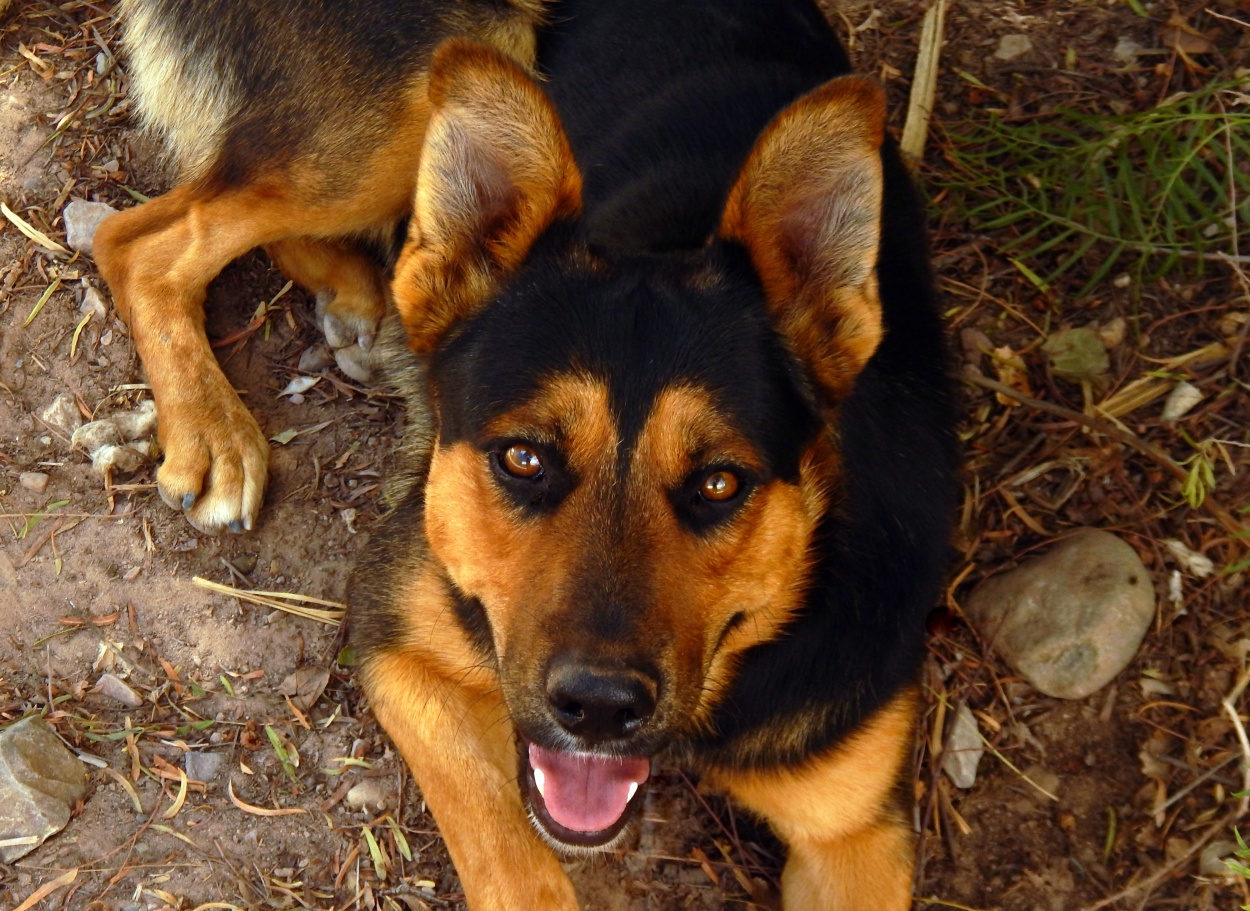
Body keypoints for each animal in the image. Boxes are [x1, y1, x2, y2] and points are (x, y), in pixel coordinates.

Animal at [100, 1, 955, 909]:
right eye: (524, 459)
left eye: (720, 482)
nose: (600, 709)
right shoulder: (399, 635)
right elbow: (511, 858)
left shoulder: (858, 833)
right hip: (423, 88)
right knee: (143, 239)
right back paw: (214, 427)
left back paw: (358, 295)